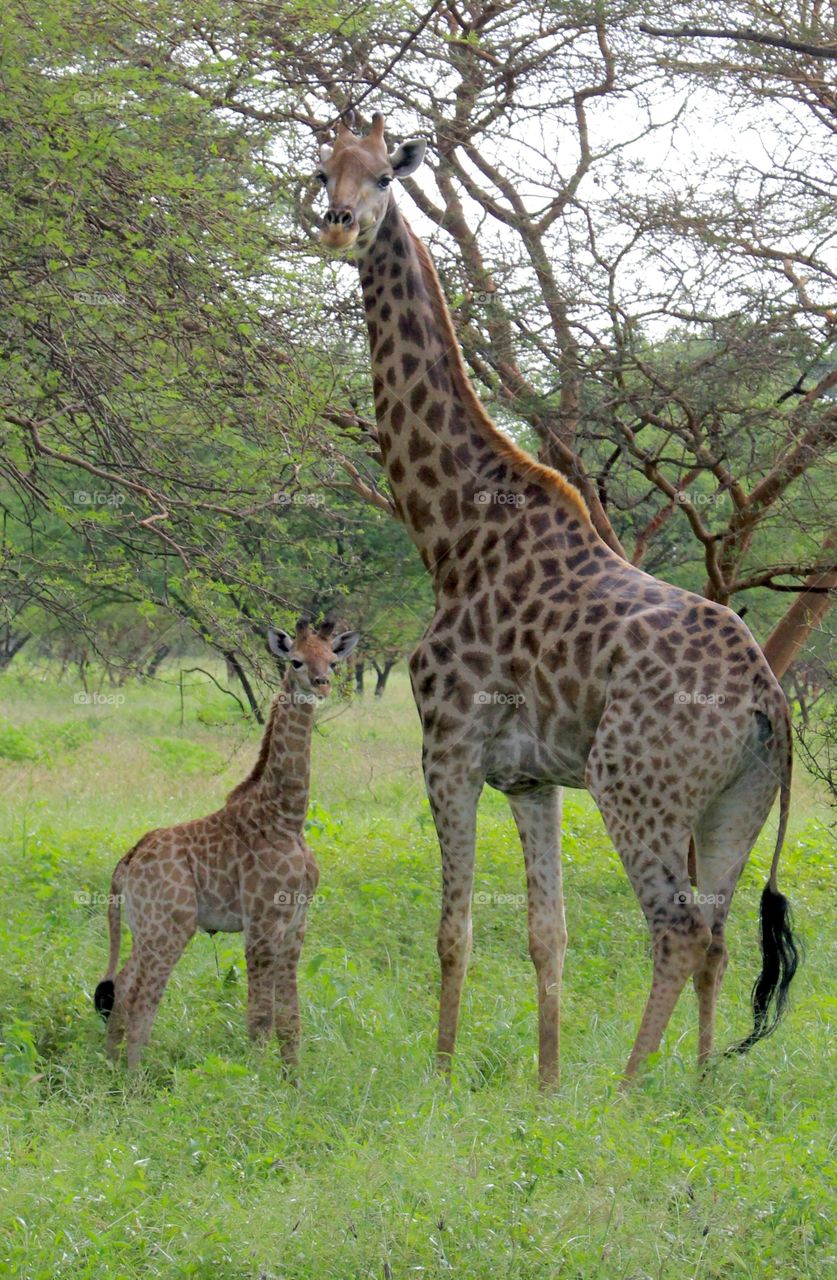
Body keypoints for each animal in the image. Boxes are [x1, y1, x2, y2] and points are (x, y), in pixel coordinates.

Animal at [93, 619, 358, 1070]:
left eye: (333, 661)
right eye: (295, 660)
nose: (321, 686)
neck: (285, 818)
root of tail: (126, 861)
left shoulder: (297, 923)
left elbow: (290, 1017)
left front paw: (293, 1081)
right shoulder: (262, 922)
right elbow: (259, 1016)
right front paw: (253, 1081)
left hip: (145, 928)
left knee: (123, 989)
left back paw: (110, 1070)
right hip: (171, 926)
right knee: (142, 998)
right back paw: (133, 1080)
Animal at [313, 115, 798, 1085]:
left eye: (384, 175)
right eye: (320, 172)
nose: (338, 225)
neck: (448, 531)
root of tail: (769, 700)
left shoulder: (448, 746)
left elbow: (454, 931)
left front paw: (442, 1077)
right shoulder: (529, 776)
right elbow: (547, 936)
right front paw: (540, 1085)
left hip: (635, 784)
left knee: (676, 929)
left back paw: (628, 1090)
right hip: (734, 803)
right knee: (719, 933)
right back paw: (694, 1086)